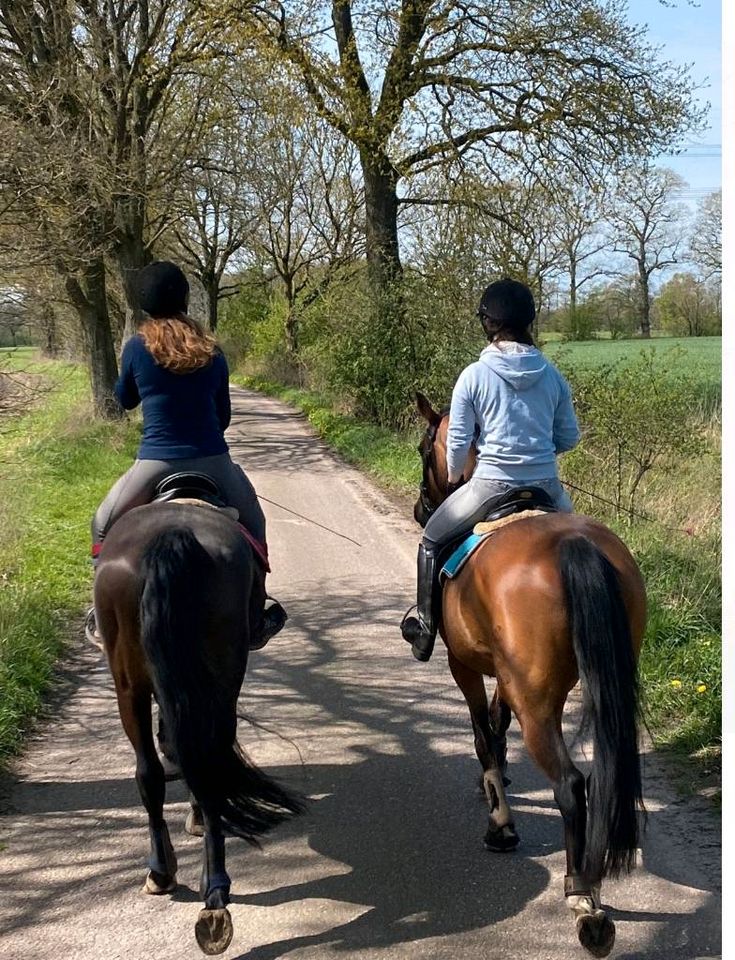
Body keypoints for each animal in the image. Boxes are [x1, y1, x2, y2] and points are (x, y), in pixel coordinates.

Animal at [94, 498, 302, 956]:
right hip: (206, 677)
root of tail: (170, 535)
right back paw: (204, 888)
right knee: (182, 766)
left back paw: (182, 879)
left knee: (165, 770)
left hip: (138, 684)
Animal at [416, 394, 648, 956]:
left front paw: (500, 823)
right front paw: (495, 784)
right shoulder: (506, 673)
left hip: (538, 701)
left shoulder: (464, 665)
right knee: (600, 775)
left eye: (423, 450)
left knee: (570, 783)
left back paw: (584, 899)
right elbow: (497, 728)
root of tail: (573, 545)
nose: (419, 509)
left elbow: (482, 731)